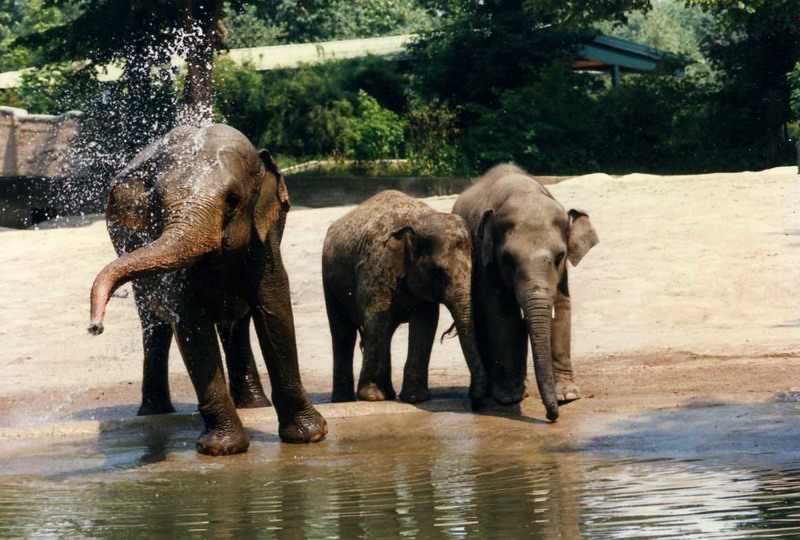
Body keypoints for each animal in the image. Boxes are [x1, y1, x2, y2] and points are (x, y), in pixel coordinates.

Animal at [88, 123, 327, 455]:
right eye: (156, 202)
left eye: (233, 199)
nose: (94, 327)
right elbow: (192, 325)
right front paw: (222, 449)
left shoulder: (265, 241)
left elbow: (275, 312)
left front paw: (310, 436)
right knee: (155, 327)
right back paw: (155, 412)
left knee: (235, 325)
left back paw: (253, 406)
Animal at [322, 190, 488, 409]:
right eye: (437, 271)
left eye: (475, 267)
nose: (475, 402)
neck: (417, 223)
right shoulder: (376, 267)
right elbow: (376, 320)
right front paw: (374, 398)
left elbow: (425, 323)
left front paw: (415, 398)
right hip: (329, 278)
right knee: (343, 331)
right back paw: (345, 400)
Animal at [452, 164, 598, 422]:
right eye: (508, 259)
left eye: (560, 256)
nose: (552, 417)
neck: (522, 191)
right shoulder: (485, 258)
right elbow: (501, 313)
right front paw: (509, 398)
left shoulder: (561, 274)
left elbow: (562, 308)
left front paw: (567, 395)